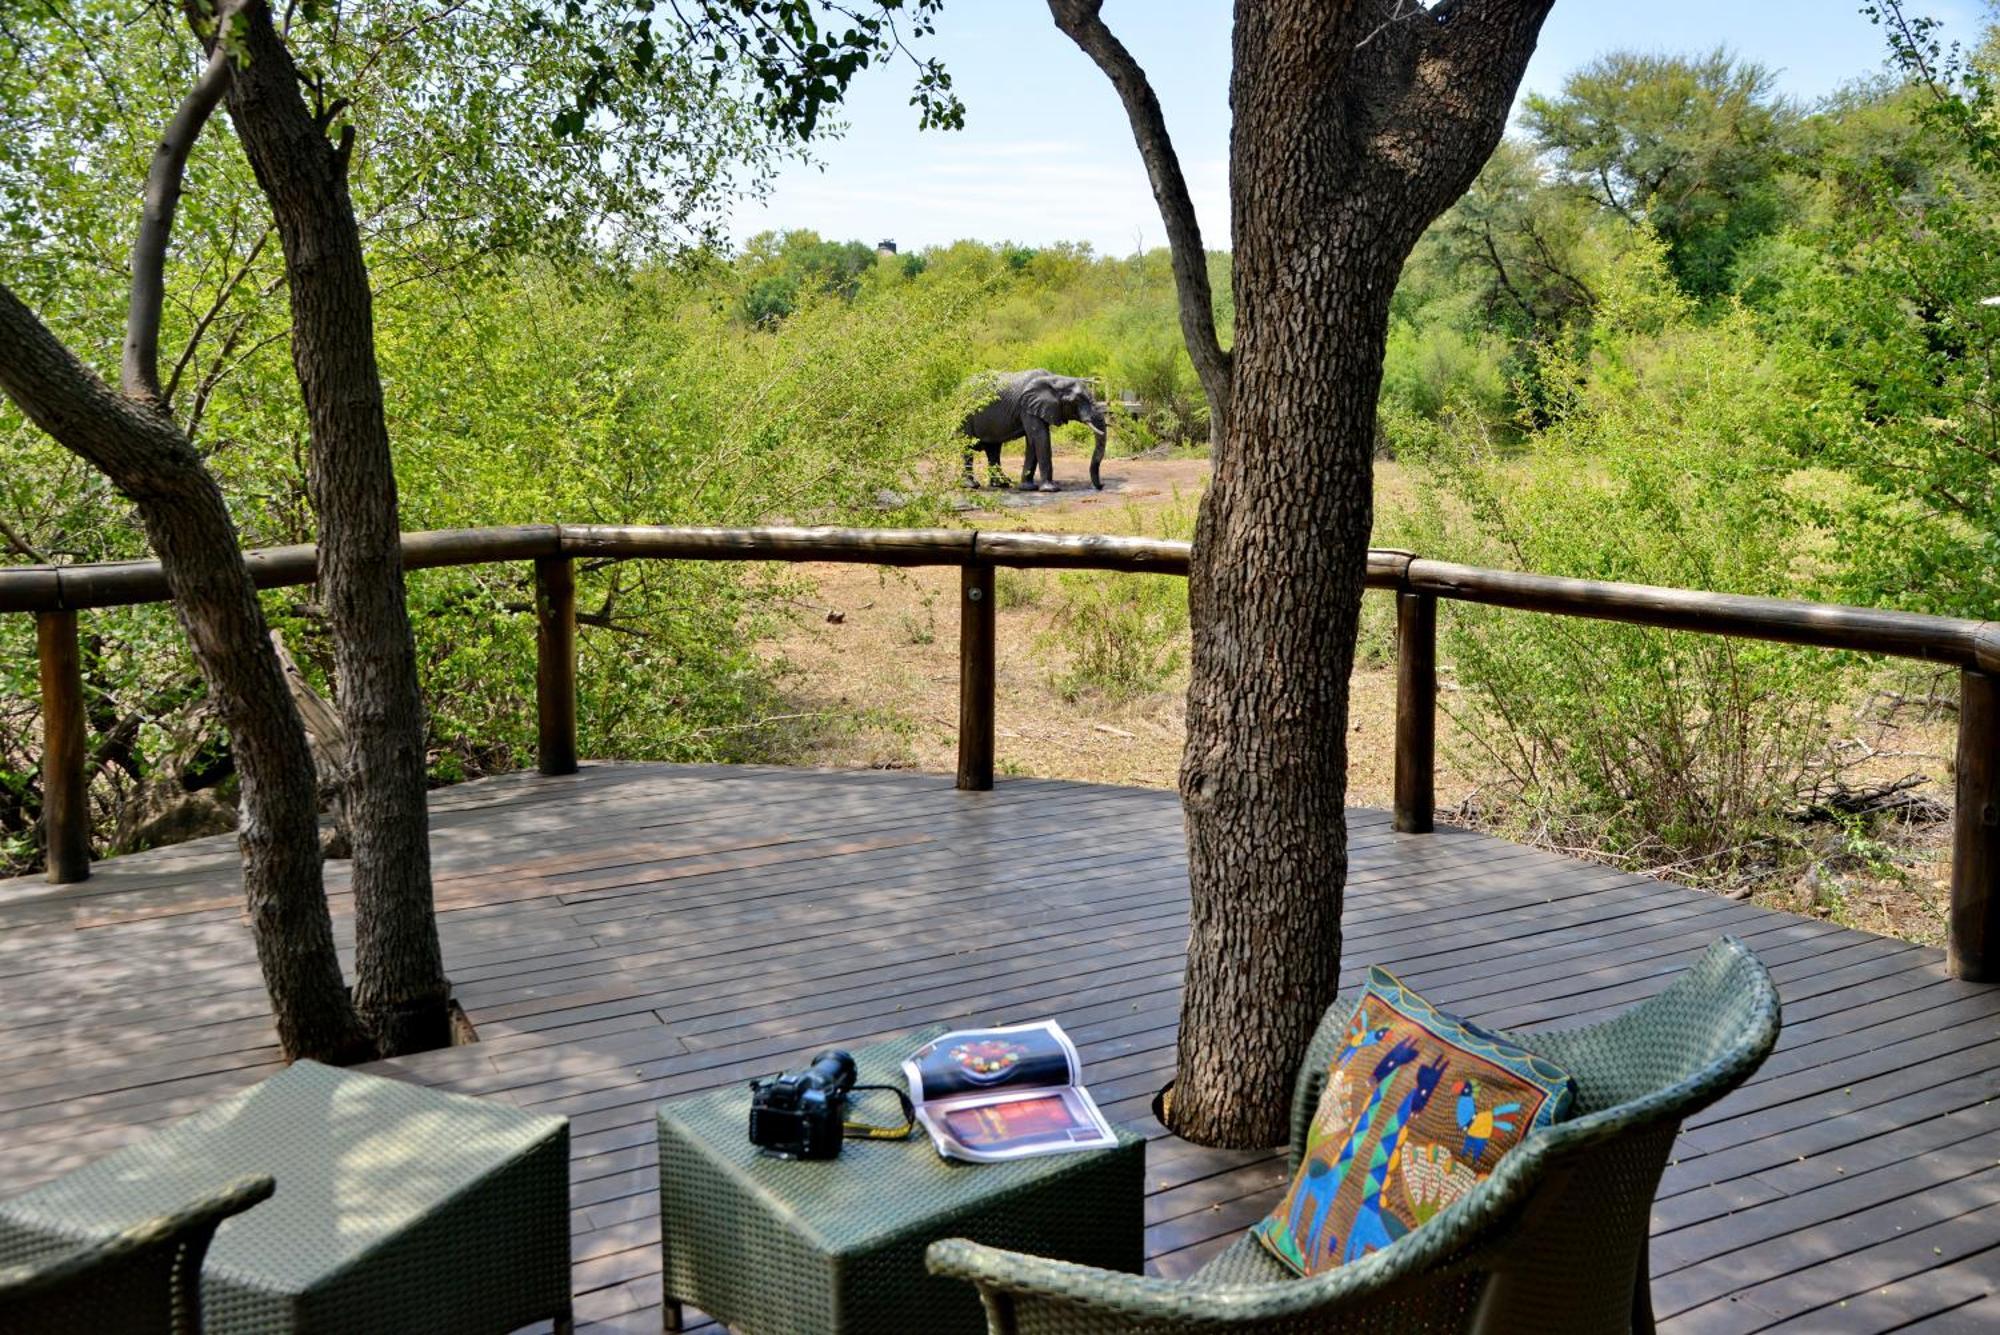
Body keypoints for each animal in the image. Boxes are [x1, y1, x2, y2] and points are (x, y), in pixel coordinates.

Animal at [956, 367, 1112, 493]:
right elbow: (1040, 438)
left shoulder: (1039, 409)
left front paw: (1028, 488)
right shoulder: (1027, 407)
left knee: (993, 449)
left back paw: (1001, 484)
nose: (1101, 486)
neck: (1055, 379)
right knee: (968, 447)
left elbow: (1032, 441)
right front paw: (1051, 489)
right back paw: (971, 486)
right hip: (965, 414)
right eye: (1076, 401)